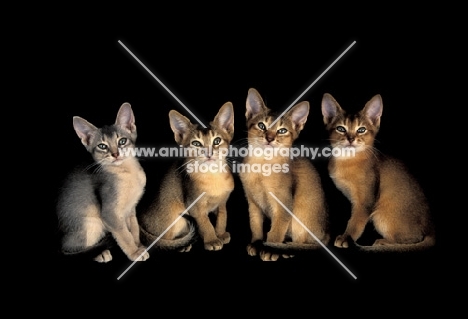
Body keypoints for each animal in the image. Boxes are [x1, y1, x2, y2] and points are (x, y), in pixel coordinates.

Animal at [55, 104, 149, 264]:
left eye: (122, 141)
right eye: (102, 146)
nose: (115, 154)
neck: (127, 172)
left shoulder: (130, 209)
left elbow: (134, 229)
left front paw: (139, 246)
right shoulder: (110, 213)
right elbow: (125, 235)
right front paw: (135, 253)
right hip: (93, 223)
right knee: (70, 248)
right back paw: (100, 253)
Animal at [138, 102, 234, 252]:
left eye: (217, 141)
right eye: (196, 143)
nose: (209, 153)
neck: (213, 175)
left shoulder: (223, 202)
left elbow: (223, 217)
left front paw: (221, 233)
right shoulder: (195, 207)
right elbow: (206, 223)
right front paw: (212, 240)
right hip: (179, 220)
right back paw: (182, 244)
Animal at [238, 88, 330, 262]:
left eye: (282, 130)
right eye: (261, 125)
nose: (269, 138)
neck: (261, 166)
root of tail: (325, 234)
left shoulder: (283, 204)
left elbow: (276, 229)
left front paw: (270, 249)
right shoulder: (253, 202)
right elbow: (255, 225)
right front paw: (256, 243)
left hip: (301, 215)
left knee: (303, 242)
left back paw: (287, 249)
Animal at [322, 93, 436, 252]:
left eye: (361, 129)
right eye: (341, 128)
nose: (351, 139)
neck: (348, 160)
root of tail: (431, 227)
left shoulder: (365, 201)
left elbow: (356, 222)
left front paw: (346, 238)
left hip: (380, 215)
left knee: (414, 239)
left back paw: (383, 242)